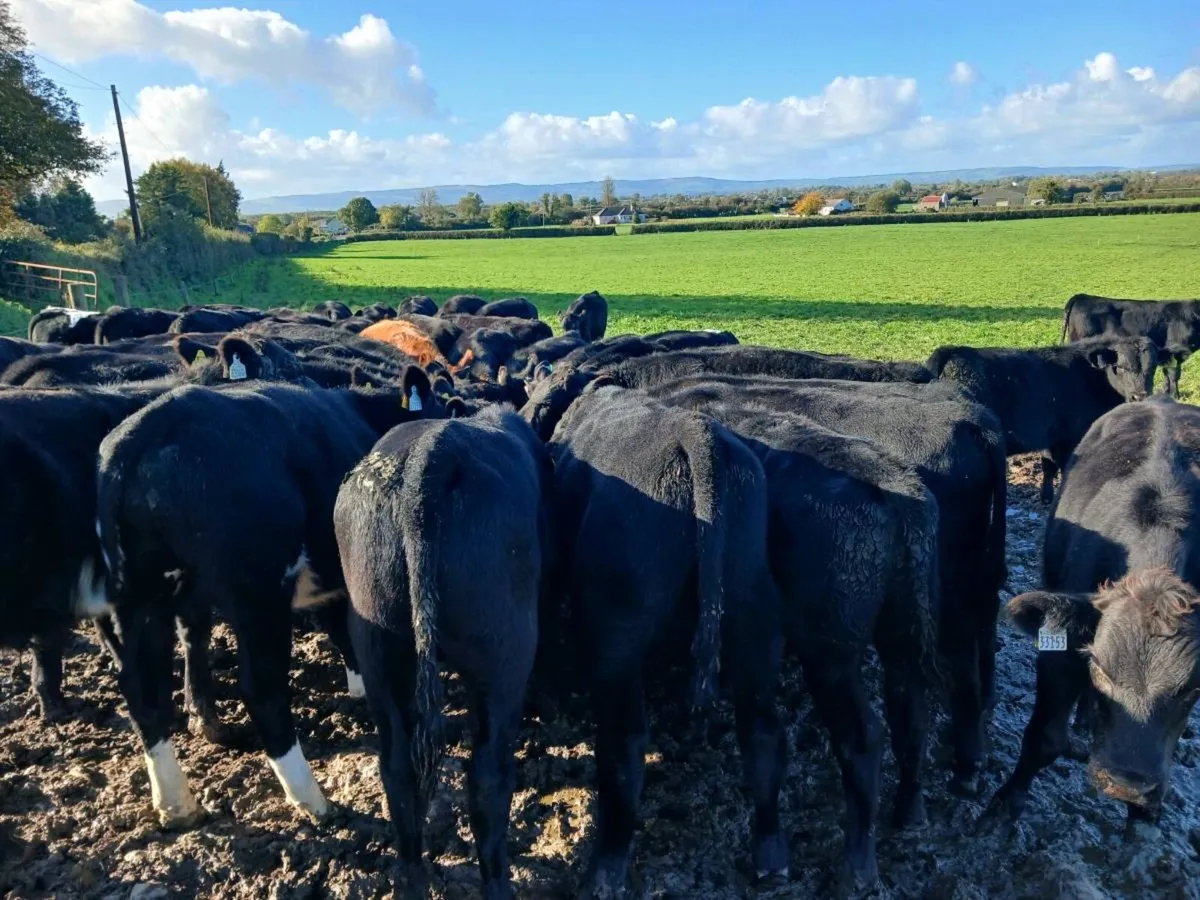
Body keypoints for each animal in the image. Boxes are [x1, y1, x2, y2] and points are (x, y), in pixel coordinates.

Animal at [95, 371, 452, 827]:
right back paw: (315, 801)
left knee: (143, 687)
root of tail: (149, 426)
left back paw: (177, 805)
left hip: (141, 598)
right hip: (258, 594)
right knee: (261, 689)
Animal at [335, 405, 550, 899]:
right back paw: (497, 885)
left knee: (396, 768)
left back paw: (412, 880)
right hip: (504, 654)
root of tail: (430, 456)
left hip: (378, 643)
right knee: (488, 777)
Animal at [524, 384, 787, 894]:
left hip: (619, 633)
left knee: (624, 744)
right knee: (762, 729)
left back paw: (604, 870)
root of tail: (695, 432)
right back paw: (771, 855)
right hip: (753, 610)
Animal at [927, 336, 1159, 503]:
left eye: (1152, 368)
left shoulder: (1050, 436)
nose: (1140, 396)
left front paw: (1046, 497)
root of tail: (952, 351)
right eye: (1120, 367)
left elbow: (1048, 466)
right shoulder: (1069, 438)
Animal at [979, 396, 1200, 834]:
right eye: (1099, 667)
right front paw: (1004, 805)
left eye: (1190, 688)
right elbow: (1044, 738)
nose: (1126, 784)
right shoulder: (1060, 648)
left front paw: (1143, 817)